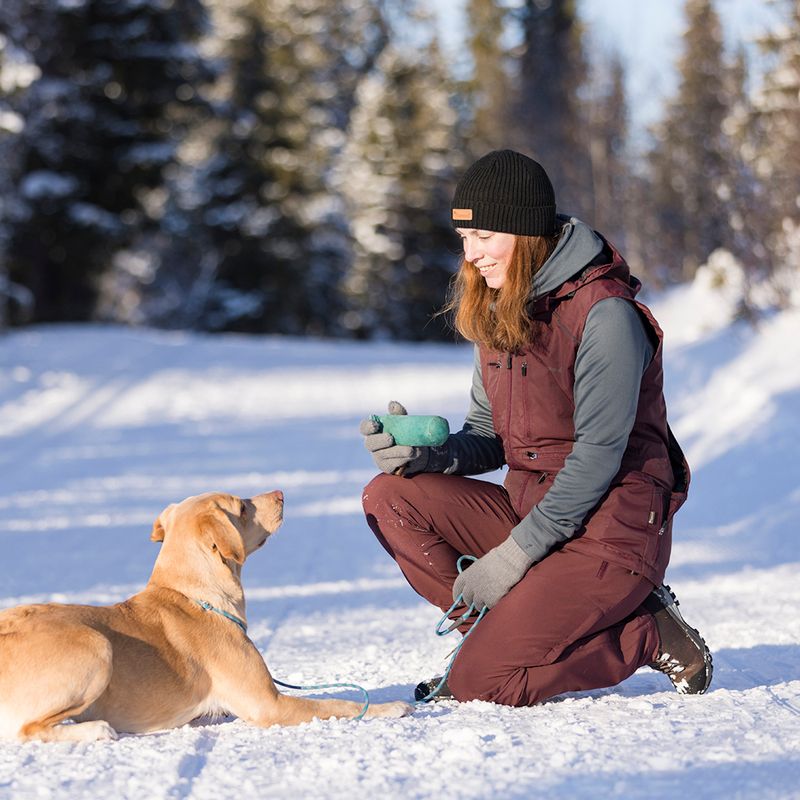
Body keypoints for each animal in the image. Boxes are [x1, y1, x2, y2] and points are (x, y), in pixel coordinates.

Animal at [0, 488, 412, 744]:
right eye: (242, 506)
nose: (281, 493)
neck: (197, 596)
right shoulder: (269, 704)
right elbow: (339, 703)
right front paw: (391, 706)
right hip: (96, 647)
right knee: (29, 729)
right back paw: (95, 730)